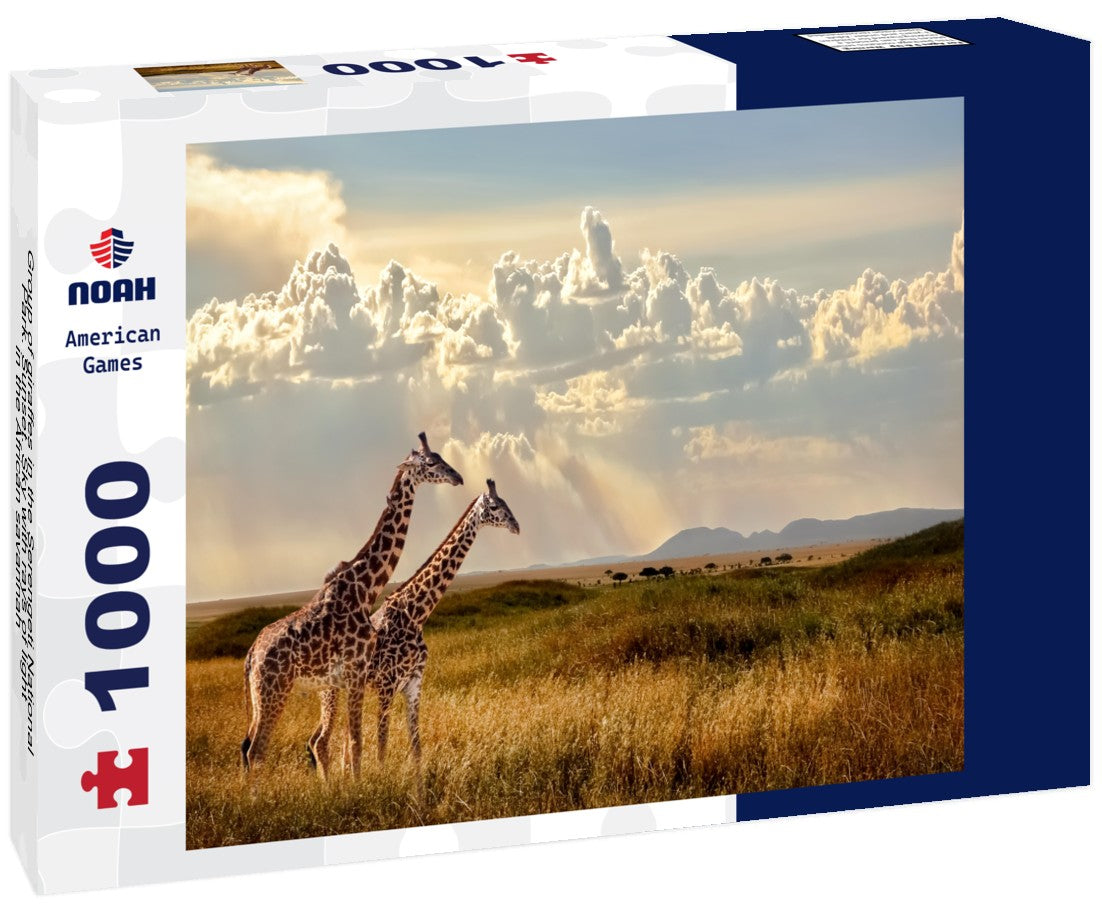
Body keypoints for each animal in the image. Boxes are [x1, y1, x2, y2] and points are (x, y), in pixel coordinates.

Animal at [240, 433, 463, 778]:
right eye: (430, 463)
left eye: (440, 457)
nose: (457, 477)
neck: (365, 588)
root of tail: (251, 656)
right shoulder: (357, 671)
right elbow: (356, 742)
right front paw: (361, 786)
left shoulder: (352, 676)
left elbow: (354, 741)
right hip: (274, 690)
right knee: (258, 750)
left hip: (262, 695)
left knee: (251, 746)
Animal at [314, 479, 520, 773]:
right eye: (493, 506)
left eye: (505, 502)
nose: (516, 526)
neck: (415, 614)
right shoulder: (387, 685)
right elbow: (382, 745)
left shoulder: (414, 683)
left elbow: (416, 747)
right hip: (329, 691)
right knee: (321, 741)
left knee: (339, 741)